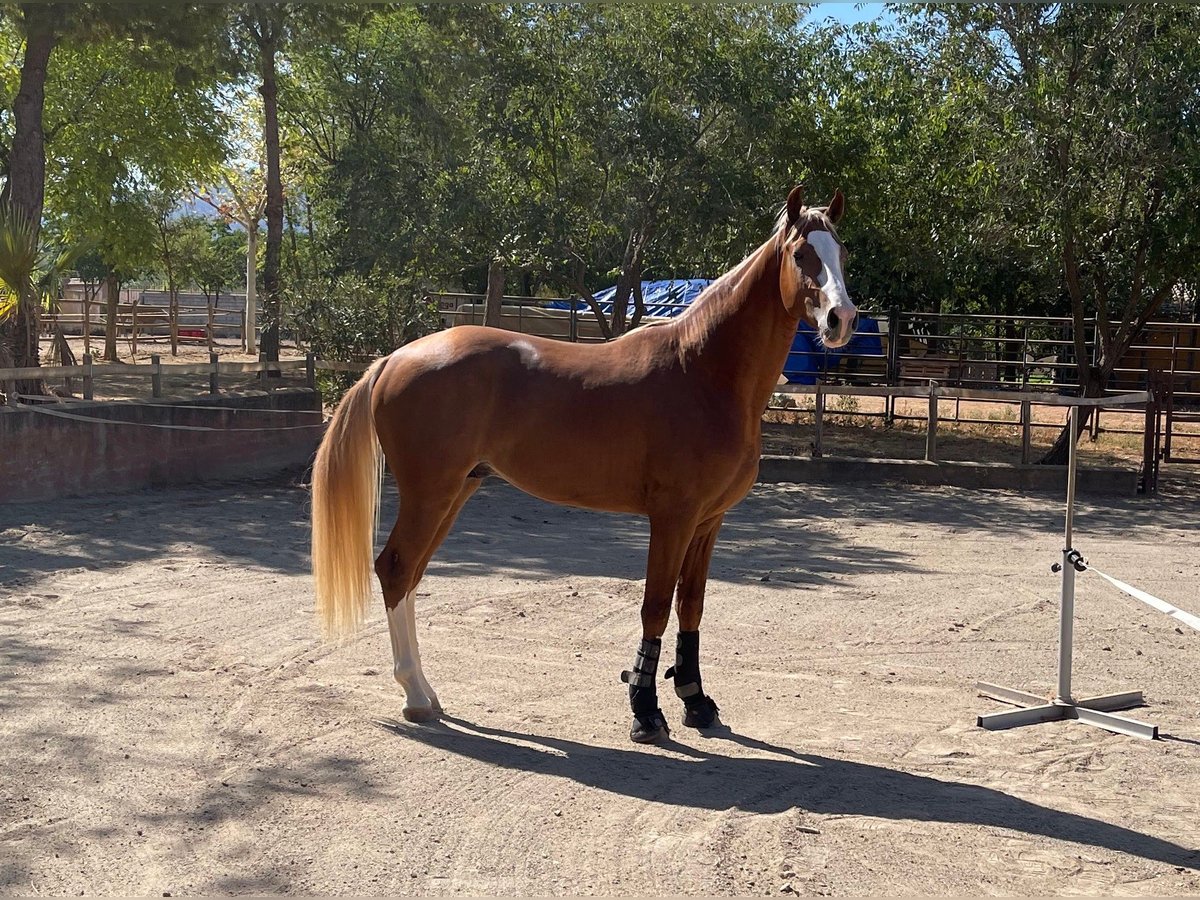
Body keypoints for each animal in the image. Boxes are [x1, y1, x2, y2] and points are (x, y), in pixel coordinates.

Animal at [309, 187, 854, 744]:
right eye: (801, 255)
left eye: (841, 253)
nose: (842, 319)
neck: (702, 371)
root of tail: (392, 360)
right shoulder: (673, 518)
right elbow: (655, 606)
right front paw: (645, 712)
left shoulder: (709, 521)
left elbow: (691, 605)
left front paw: (696, 702)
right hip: (429, 494)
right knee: (396, 570)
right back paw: (416, 697)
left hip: (456, 491)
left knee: (411, 574)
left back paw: (426, 692)